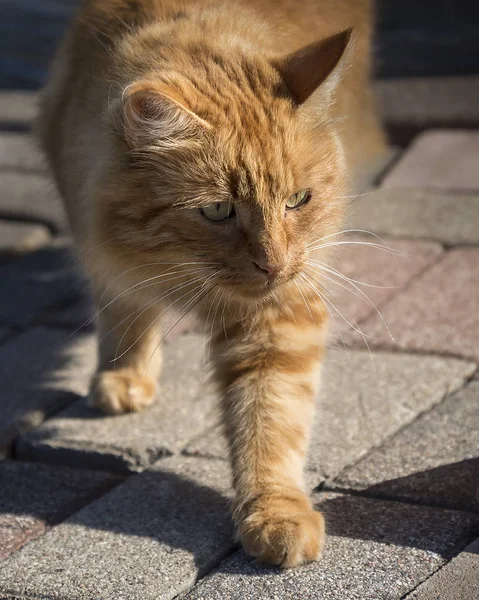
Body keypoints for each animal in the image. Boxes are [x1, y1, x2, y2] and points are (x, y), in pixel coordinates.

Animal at [39, 0, 388, 568]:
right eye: (219, 210)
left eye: (298, 200)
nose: (273, 265)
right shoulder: (100, 248)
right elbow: (123, 312)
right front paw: (125, 374)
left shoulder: (279, 314)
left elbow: (270, 417)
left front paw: (275, 513)